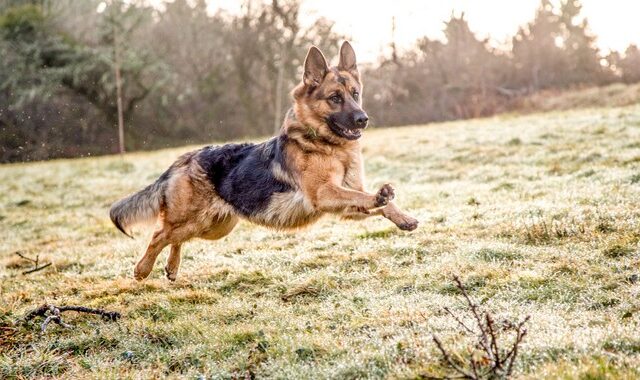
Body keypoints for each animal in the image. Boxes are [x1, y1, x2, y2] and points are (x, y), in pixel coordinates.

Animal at [110, 42, 420, 282]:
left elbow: (377, 202)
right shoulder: (325, 194)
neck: (326, 144)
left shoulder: (345, 204)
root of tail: (186, 157)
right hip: (192, 219)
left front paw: (402, 217)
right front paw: (381, 197)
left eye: (355, 94)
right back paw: (142, 269)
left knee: (175, 238)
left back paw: (172, 268)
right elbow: (366, 196)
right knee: (159, 234)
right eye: (335, 98)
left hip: (213, 227)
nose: (363, 119)